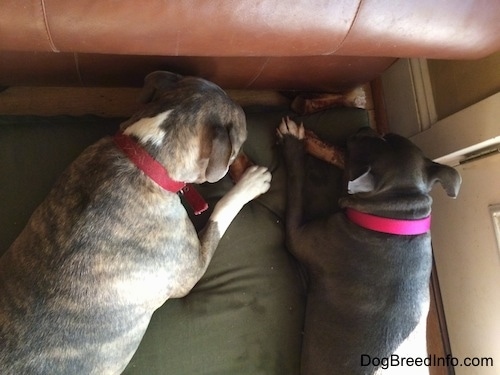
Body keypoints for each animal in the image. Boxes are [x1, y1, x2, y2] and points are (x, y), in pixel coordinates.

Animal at [0, 72, 272, 374]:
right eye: (240, 144)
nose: (247, 162)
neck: (146, 156)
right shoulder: (191, 270)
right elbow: (221, 210)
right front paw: (251, 183)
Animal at [278, 118, 460, 375]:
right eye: (385, 135)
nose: (362, 128)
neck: (394, 217)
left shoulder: (299, 235)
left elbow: (296, 183)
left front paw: (293, 142)